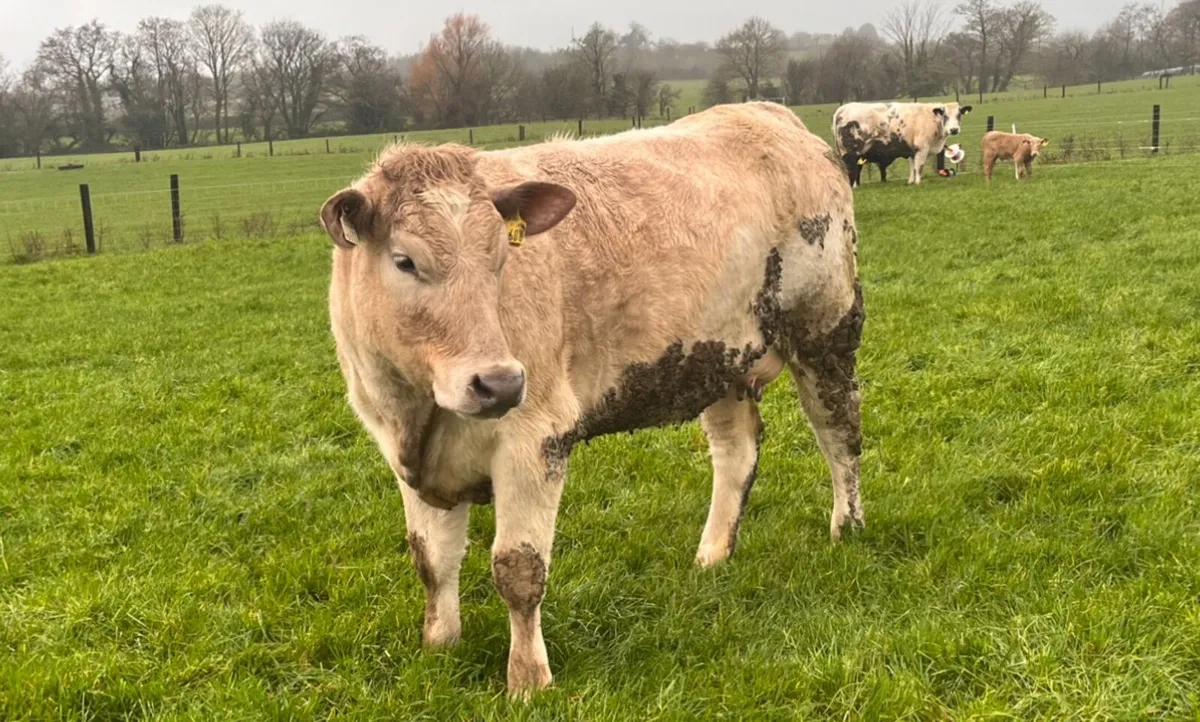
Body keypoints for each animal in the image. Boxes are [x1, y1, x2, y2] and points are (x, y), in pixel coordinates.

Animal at [317, 102, 865, 697]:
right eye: (404, 261)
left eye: (499, 259)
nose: (499, 383)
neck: (420, 412)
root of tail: (768, 114)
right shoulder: (405, 456)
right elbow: (432, 562)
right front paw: (440, 647)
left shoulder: (537, 437)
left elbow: (518, 570)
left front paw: (529, 679)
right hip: (720, 357)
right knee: (736, 451)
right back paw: (712, 554)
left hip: (825, 327)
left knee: (840, 435)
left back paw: (847, 529)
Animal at [833, 101, 973, 187]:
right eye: (945, 115)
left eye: (959, 114)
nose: (954, 129)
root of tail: (844, 107)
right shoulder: (922, 148)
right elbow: (919, 166)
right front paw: (918, 182)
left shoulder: (912, 150)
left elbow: (913, 167)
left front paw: (911, 181)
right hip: (852, 152)